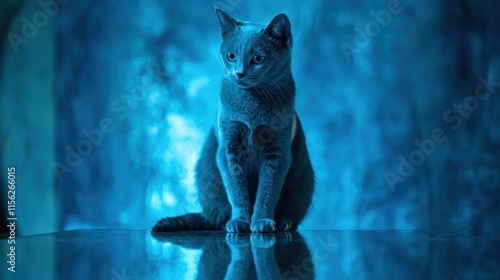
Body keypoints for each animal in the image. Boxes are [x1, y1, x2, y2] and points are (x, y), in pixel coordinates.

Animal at [154, 8, 314, 232]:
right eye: (231, 56)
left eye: (258, 58)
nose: (239, 72)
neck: (252, 106)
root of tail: (206, 215)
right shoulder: (229, 147)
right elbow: (236, 190)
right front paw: (240, 221)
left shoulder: (278, 150)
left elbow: (267, 191)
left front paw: (262, 222)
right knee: (219, 217)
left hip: (302, 186)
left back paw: (283, 222)